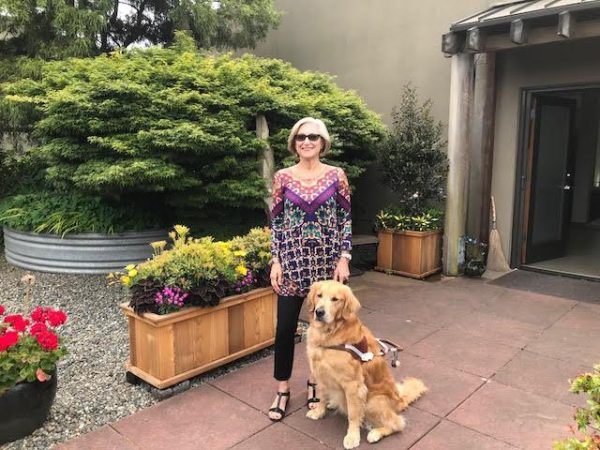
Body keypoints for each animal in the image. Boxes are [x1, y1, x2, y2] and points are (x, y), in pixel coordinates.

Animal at [304, 280, 426, 448]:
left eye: (335, 299)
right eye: (319, 295)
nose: (319, 312)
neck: (330, 333)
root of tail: (399, 400)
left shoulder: (353, 385)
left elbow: (353, 415)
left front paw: (352, 437)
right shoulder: (320, 373)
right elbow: (321, 396)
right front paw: (318, 411)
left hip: (373, 401)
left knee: (397, 423)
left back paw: (375, 433)